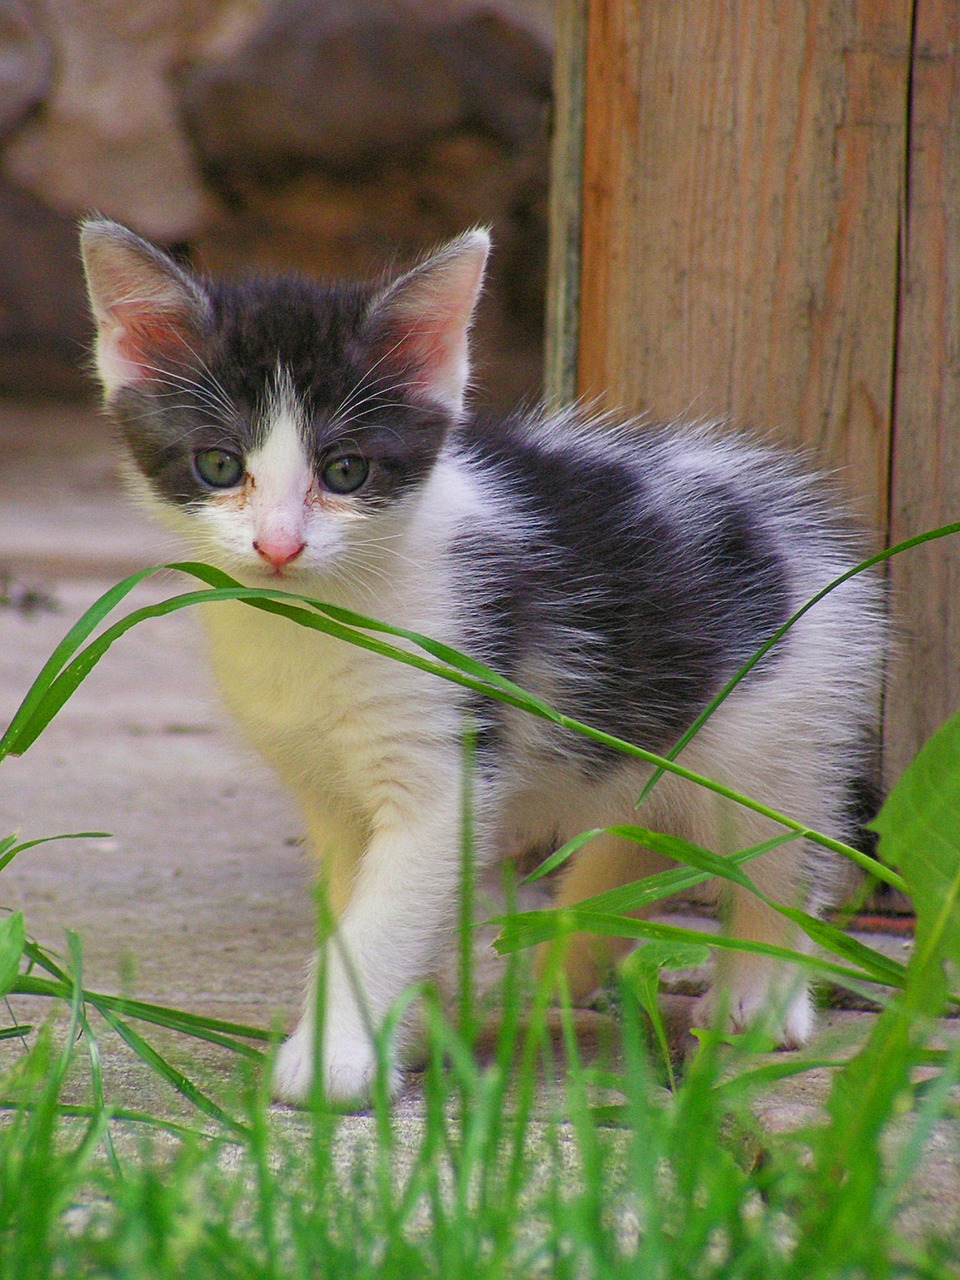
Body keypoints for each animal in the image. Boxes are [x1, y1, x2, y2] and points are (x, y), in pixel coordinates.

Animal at [80, 220, 885, 1100]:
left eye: (346, 470)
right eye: (220, 464)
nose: (279, 547)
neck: (314, 624)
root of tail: (790, 527)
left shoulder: (446, 757)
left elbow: (384, 913)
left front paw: (333, 1060)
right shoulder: (327, 793)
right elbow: (357, 896)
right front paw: (408, 1032)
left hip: (775, 734)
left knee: (782, 857)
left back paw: (760, 995)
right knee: (647, 821)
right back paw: (566, 962)